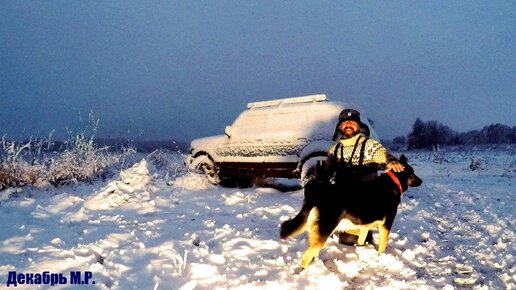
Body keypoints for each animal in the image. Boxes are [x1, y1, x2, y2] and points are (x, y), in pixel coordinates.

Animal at [280, 155, 422, 268]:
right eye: (412, 174)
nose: (421, 181)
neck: (394, 182)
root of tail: (317, 193)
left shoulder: (365, 226)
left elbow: (361, 240)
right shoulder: (386, 225)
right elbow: (382, 246)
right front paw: (382, 257)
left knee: (313, 252)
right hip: (325, 229)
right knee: (306, 256)